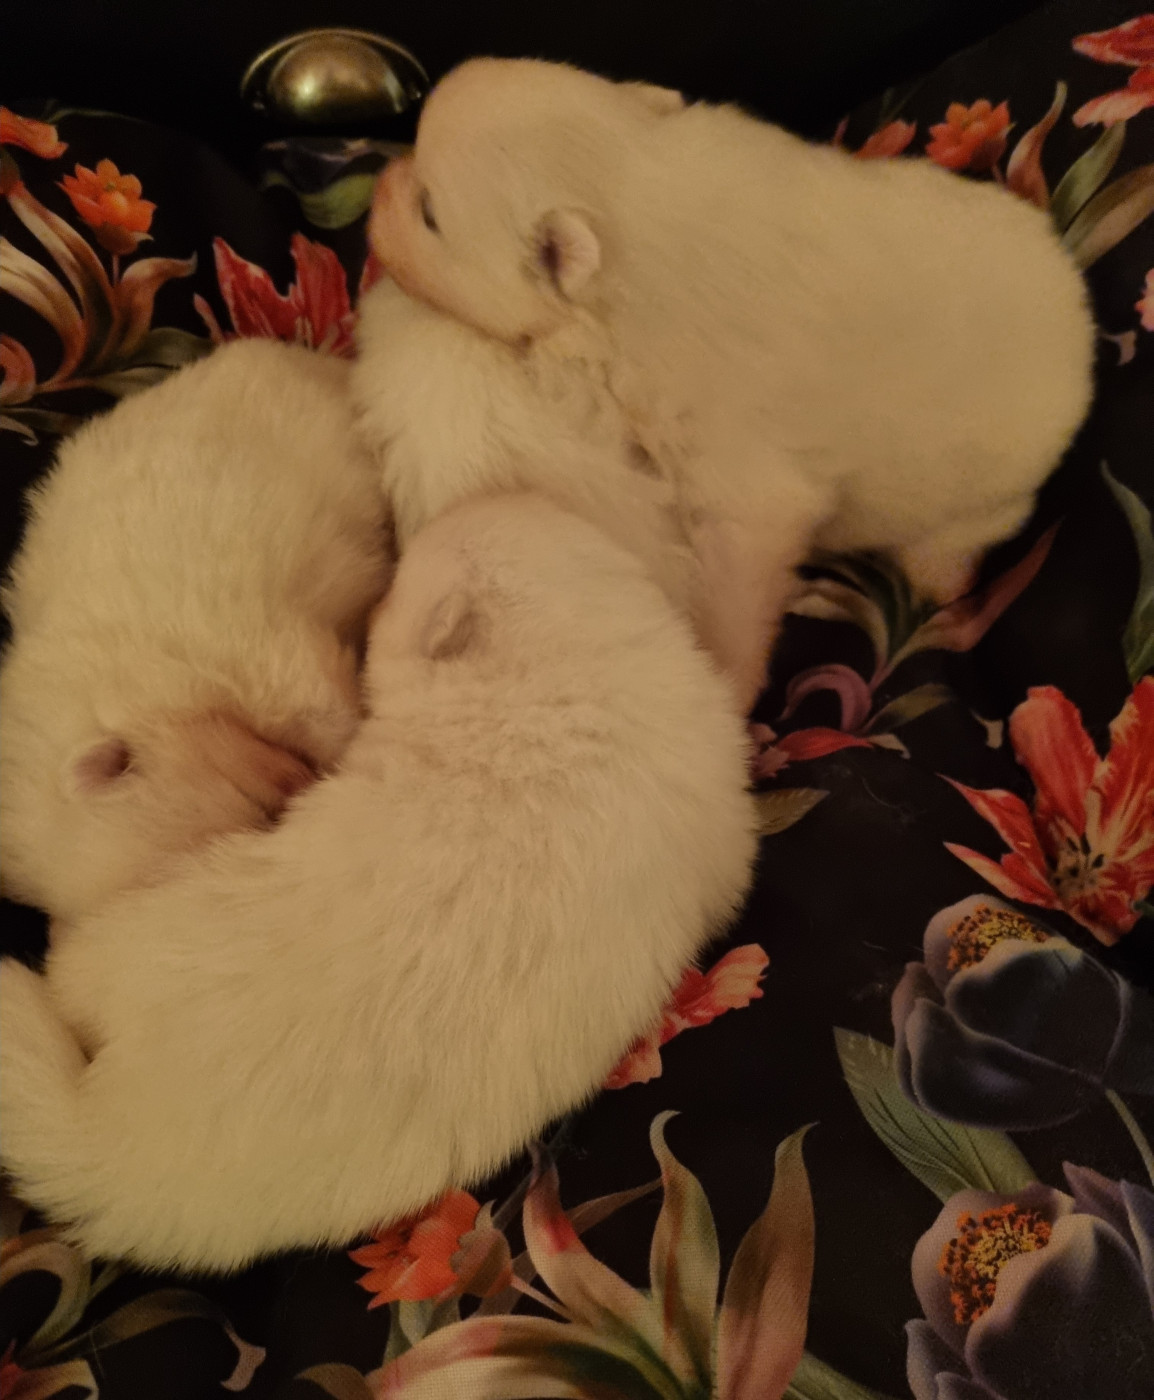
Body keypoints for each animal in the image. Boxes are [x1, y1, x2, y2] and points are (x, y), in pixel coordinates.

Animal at [366, 57, 1096, 709]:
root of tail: (1083, 340)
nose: (376, 189)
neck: (640, 204)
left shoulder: (740, 482)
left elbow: (739, 581)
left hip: (969, 506)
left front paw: (727, 684)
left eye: (430, 213)